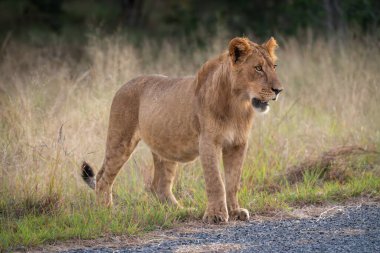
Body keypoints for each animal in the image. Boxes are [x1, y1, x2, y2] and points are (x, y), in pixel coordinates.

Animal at [81, 37, 284, 223]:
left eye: (274, 66)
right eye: (258, 68)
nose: (279, 90)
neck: (237, 104)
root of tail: (123, 85)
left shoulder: (238, 144)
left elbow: (233, 181)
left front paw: (235, 211)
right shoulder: (208, 142)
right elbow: (216, 181)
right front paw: (216, 215)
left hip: (166, 148)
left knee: (159, 186)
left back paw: (181, 210)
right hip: (121, 140)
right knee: (103, 178)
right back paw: (106, 211)